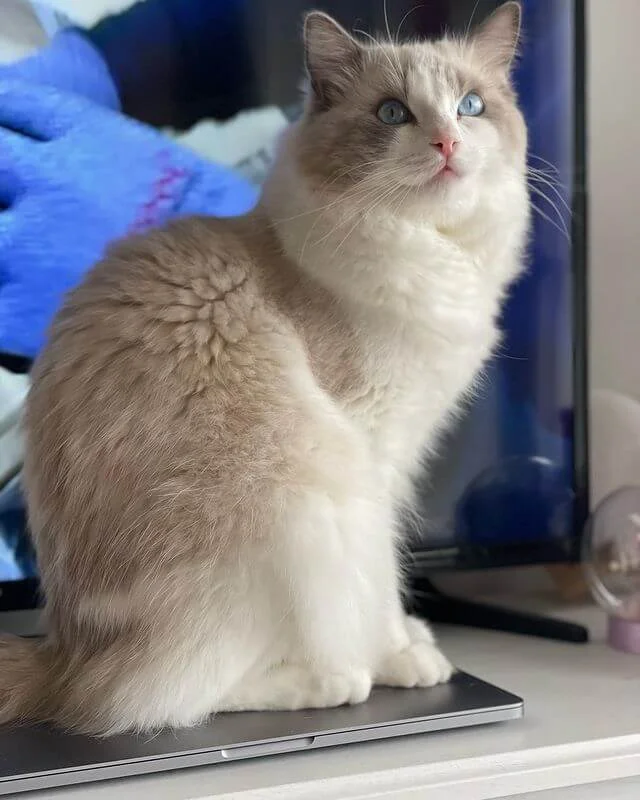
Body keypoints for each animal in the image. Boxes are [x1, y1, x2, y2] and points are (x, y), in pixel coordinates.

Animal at [0, 2, 529, 735]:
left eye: (471, 106)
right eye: (393, 113)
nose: (448, 143)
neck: (431, 251)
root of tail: (62, 657)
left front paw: (412, 646)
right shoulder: (375, 455)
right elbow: (385, 581)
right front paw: (403, 657)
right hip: (304, 503)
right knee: (152, 698)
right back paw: (333, 680)